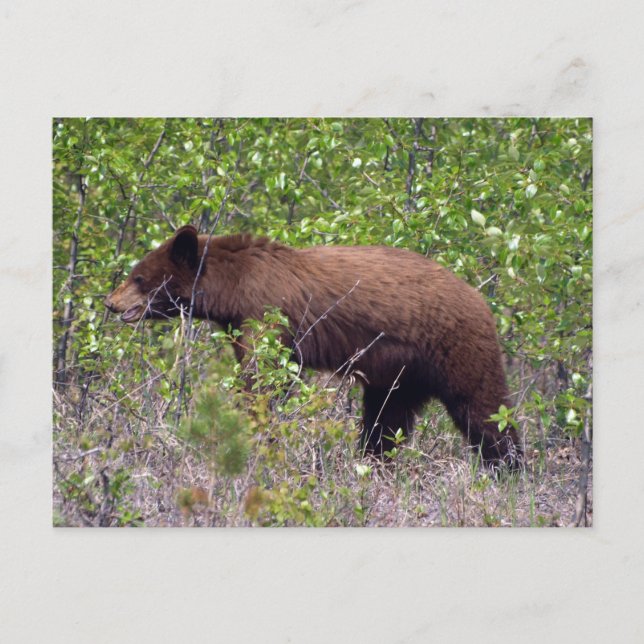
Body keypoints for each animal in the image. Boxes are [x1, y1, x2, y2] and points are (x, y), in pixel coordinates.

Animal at [104, 225, 522, 468]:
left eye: (138, 277)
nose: (110, 303)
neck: (233, 287)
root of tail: (482, 302)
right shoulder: (240, 322)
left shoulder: (265, 312)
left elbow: (264, 377)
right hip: (402, 375)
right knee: (386, 421)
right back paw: (372, 464)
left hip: (457, 347)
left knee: (484, 410)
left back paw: (509, 469)